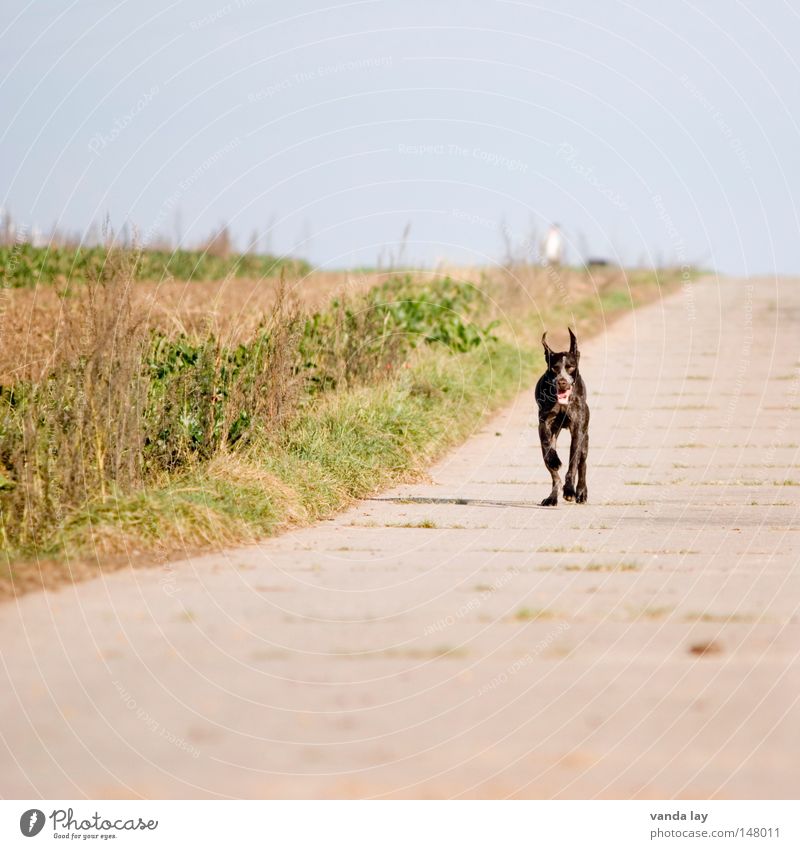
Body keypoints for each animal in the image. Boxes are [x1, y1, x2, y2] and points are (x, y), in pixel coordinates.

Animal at [536, 328, 592, 504]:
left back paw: (581, 492)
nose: (562, 381)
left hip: (585, 439)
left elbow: (573, 463)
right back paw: (552, 497)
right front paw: (554, 460)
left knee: (582, 464)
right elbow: (547, 447)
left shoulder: (577, 430)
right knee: (554, 475)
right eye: (554, 368)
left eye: (571, 367)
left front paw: (569, 490)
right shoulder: (544, 423)